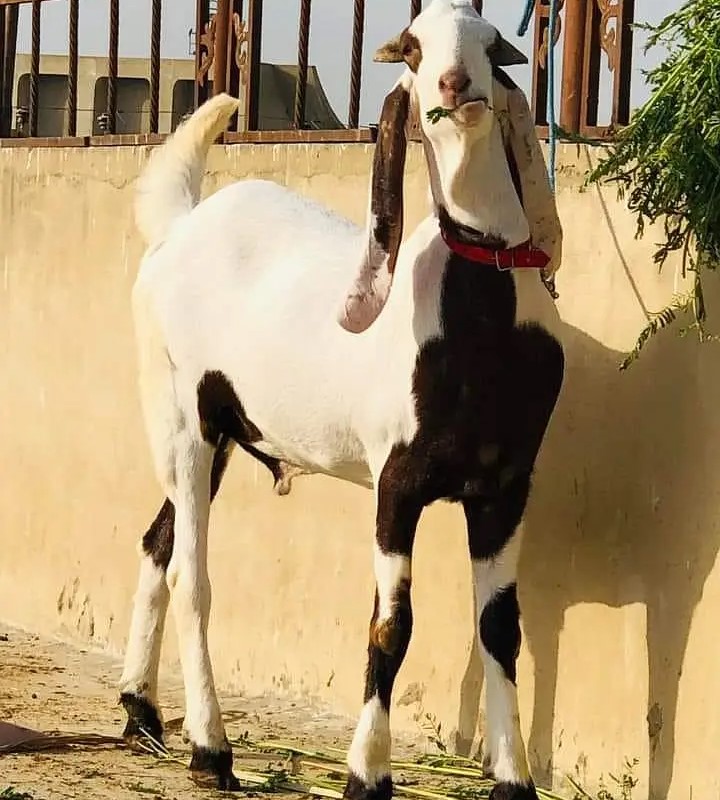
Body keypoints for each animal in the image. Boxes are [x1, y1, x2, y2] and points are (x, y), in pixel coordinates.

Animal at [118, 2, 565, 799]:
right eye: (411, 49)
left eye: (493, 45)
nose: (456, 86)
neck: (479, 317)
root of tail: (180, 224)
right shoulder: (397, 481)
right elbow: (392, 627)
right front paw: (367, 772)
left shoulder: (506, 486)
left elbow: (500, 628)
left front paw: (513, 781)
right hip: (180, 419)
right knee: (191, 574)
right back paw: (210, 748)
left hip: (217, 433)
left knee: (158, 541)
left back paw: (140, 710)